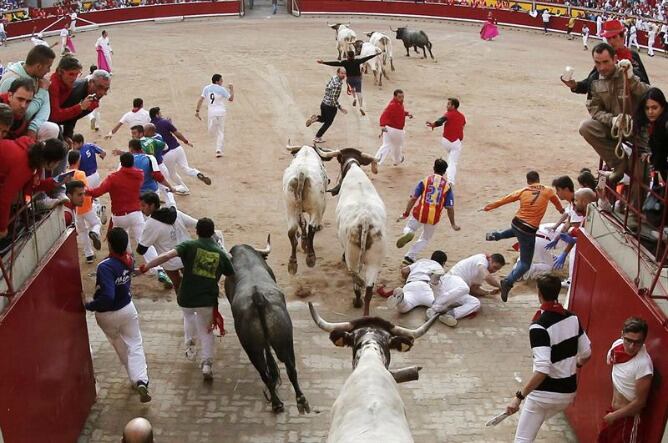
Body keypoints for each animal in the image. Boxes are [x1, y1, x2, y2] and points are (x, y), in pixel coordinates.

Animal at [223, 239, 310, 416]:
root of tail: (258, 298)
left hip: (253, 348)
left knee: (266, 372)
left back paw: (278, 403)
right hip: (283, 341)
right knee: (289, 369)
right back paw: (298, 401)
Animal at [284, 144, 332, 274]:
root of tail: (302, 172)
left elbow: (301, 222)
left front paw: (303, 242)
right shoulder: (321, 207)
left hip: (290, 207)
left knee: (291, 231)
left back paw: (292, 263)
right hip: (316, 208)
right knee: (312, 227)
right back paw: (311, 258)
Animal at [322, 147, 386, 318]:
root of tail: (365, 220)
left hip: (353, 257)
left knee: (356, 282)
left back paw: (357, 302)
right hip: (374, 260)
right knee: (369, 290)